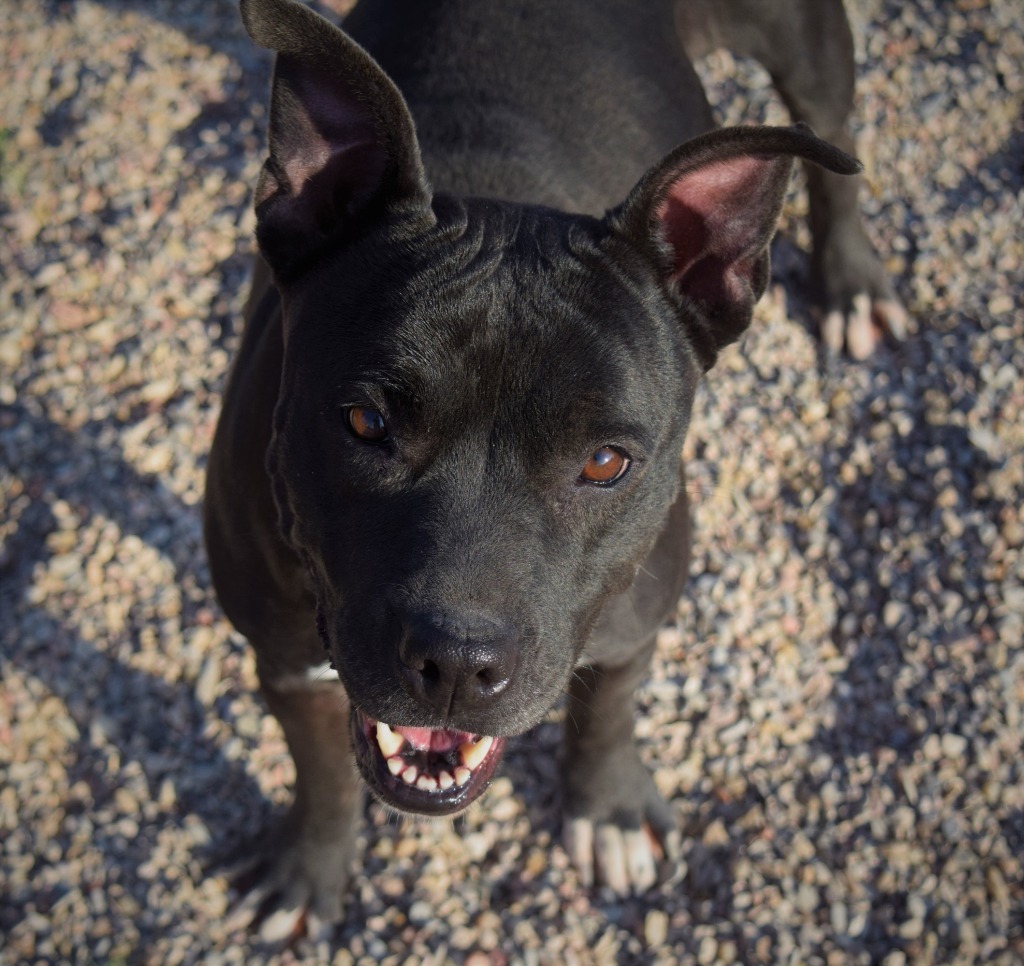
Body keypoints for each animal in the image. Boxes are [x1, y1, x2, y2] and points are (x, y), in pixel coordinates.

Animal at [203, 0, 901, 942]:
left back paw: (851, 280)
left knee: (838, 151)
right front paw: (309, 870)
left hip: (812, 60)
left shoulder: (634, 621)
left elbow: (606, 713)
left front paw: (606, 810)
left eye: (605, 461)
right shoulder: (283, 661)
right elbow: (319, 774)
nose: (456, 664)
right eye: (365, 423)